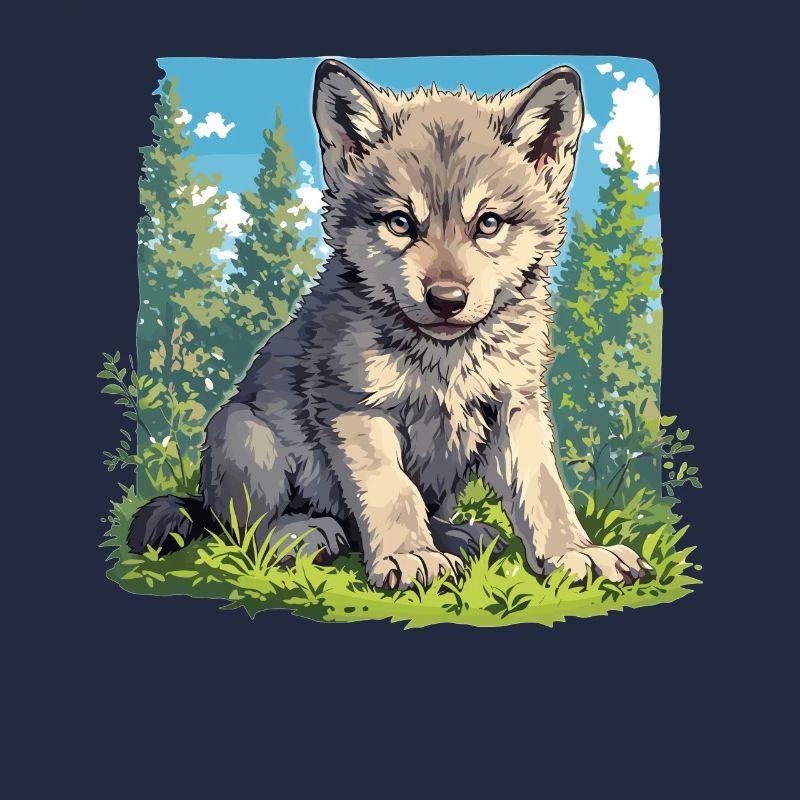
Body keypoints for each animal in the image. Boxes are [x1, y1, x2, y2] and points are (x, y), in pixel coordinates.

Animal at [129, 60, 652, 589]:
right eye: (400, 223)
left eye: (488, 224)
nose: (446, 300)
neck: (446, 359)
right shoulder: (359, 411)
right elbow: (392, 492)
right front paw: (410, 556)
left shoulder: (517, 407)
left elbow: (544, 491)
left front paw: (576, 554)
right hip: (242, 434)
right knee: (244, 530)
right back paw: (304, 534)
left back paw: (457, 535)